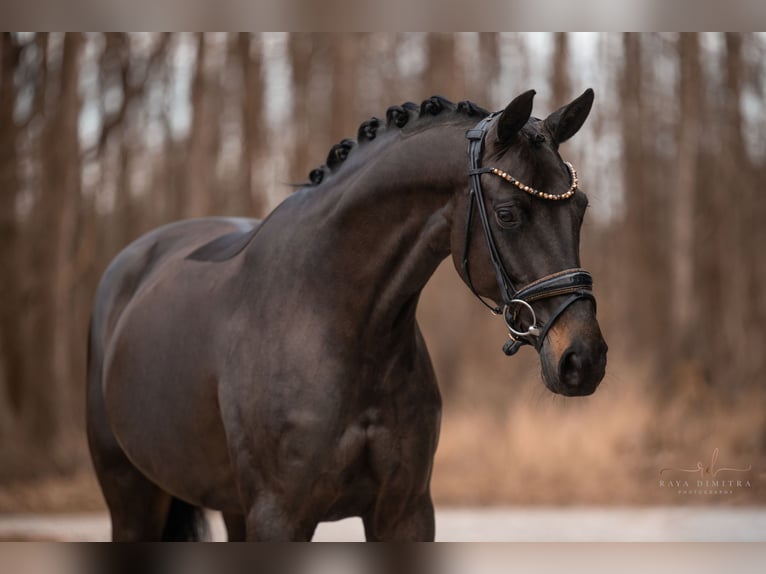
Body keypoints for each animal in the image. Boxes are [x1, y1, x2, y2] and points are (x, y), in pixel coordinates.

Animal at [87, 89, 608, 540]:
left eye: (581, 208)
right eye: (507, 214)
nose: (583, 359)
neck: (336, 321)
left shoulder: (404, 512)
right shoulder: (280, 518)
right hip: (132, 497)